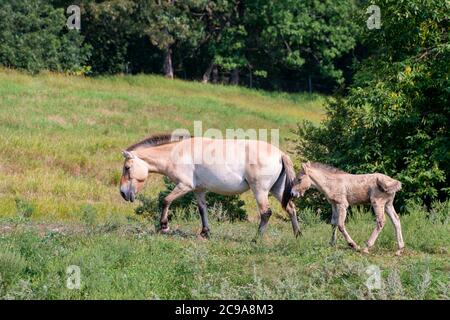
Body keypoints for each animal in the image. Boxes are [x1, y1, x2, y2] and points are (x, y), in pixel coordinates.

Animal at [119, 134, 298, 239]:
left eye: (127, 168)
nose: (122, 193)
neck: (176, 153)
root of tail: (280, 154)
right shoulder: (199, 190)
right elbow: (202, 209)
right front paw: (205, 232)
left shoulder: (184, 186)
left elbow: (166, 200)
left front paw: (164, 226)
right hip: (277, 190)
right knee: (291, 209)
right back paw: (298, 234)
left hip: (260, 191)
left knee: (266, 213)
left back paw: (256, 239)